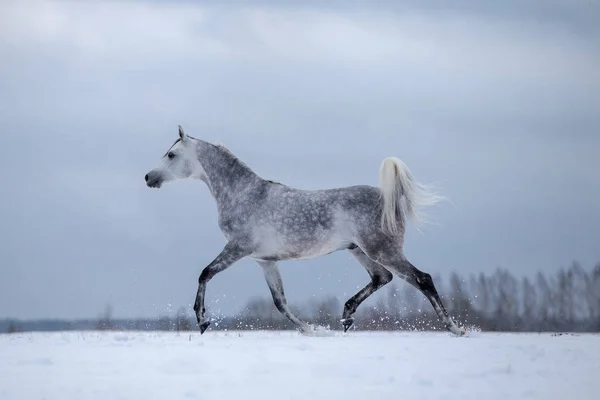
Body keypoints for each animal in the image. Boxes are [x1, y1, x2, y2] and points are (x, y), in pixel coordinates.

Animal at [143, 126, 466, 338]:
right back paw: (347, 316)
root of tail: (390, 199)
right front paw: (312, 329)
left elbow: (205, 274)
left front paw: (202, 321)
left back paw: (455, 328)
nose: (148, 177)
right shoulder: (265, 261)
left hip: (382, 250)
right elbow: (280, 302)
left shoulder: (238, 248)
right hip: (360, 251)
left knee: (422, 279)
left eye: (171, 155)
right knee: (381, 278)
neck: (243, 194)